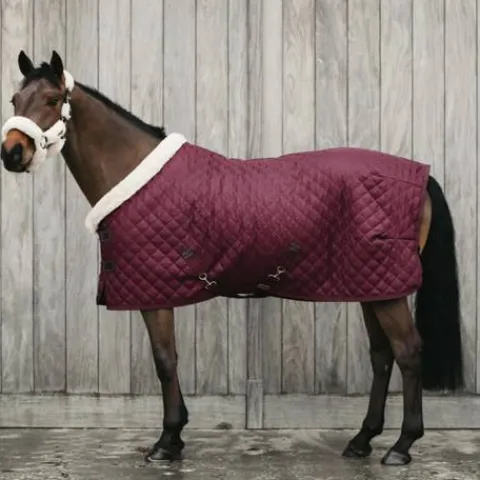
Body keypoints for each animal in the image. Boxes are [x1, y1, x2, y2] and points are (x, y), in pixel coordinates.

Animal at [0, 51, 463, 467]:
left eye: (51, 99)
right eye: (14, 99)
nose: (12, 153)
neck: (134, 173)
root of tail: (420, 176)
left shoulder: (154, 292)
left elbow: (165, 360)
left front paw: (167, 441)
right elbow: (169, 360)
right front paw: (176, 436)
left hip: (388, 290)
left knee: (408, 352)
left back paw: (401, 446)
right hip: (372, 284)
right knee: (382, 356)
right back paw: (362, 439)